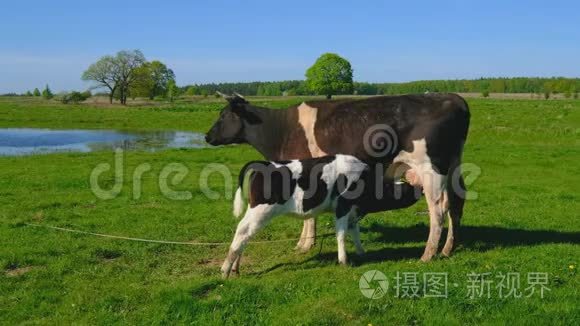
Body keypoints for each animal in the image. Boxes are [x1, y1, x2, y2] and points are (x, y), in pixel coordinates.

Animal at [222, 155, 422, 278]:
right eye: (405, 188)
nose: (420, 189)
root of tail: (264, 164)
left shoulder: (353, 211)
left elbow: (355, 233)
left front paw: (361, 253)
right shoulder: (342, 207)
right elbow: (341, 234)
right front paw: (343, 260)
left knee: (246, 236)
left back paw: (235, 268)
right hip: (261, 210)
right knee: (242, 232)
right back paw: (225, 269)